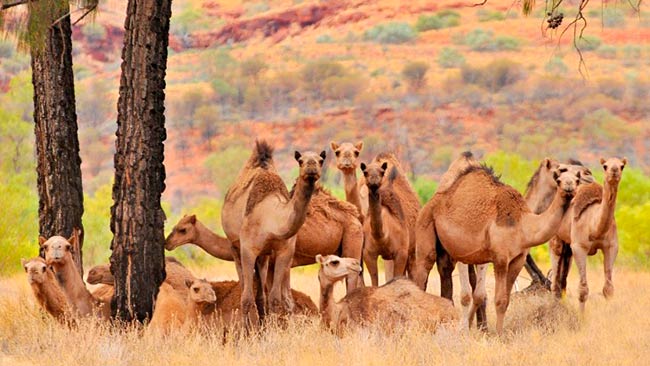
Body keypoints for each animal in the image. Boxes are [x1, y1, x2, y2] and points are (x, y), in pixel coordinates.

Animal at [221, 141, 322, 328]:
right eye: (300, 161)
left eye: (320, 160)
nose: (311, 167)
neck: (271, 219)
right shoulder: (248, 249)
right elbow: (246, 297)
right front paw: (246, 331)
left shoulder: (284, 251)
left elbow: (274, 298)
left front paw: (272, 329)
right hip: (234, 246)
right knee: (244, 286)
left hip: (264, 256)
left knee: (261, 293)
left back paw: (262, 325)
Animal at [410, 155, 576, 334]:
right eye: (558, 177)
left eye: (577, 178)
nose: (569, 186)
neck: (523, 222)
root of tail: (430, 203)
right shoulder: (500, 258)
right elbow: (499, 300)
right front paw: (496, 334)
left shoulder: (518, 259)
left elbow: (504, 300)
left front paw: (493, 332)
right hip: (425, 228)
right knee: (423, 272)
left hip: (447, 251)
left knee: (446, 272)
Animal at [548, 156, 624, 310]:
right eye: (605, 166)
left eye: (622, 166)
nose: (614, 171)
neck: (594, 227)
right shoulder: (579, 247)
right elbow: (583, 290)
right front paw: (581, 316)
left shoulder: (611, 246)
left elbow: (608, 288)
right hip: (556, 241)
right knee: (555, 282)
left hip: (568, 249)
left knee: (562, 281)